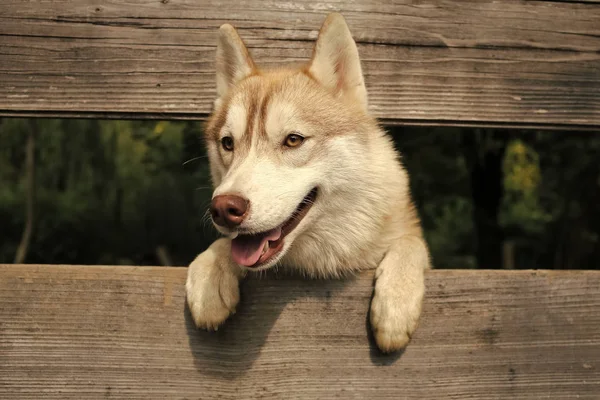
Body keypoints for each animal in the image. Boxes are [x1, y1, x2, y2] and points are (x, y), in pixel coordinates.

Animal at [185, 12, 428, 352]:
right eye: (228, 143)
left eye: (293, 140)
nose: (223, 208)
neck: (322, 262)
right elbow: (225, 246)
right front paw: (210, 274)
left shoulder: (409, 235)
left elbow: (410, 244)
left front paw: (395, 303)